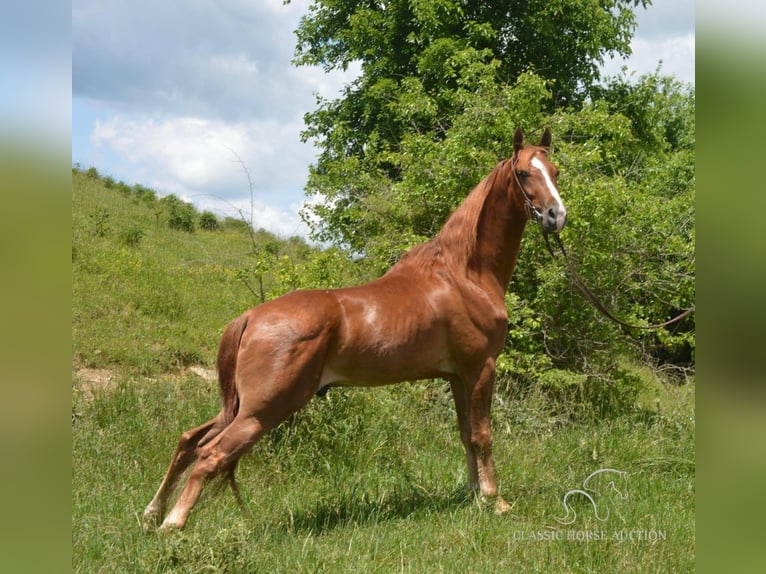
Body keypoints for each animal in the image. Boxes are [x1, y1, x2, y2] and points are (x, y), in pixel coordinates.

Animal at [144, 127, 568, 532]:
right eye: (524, 173)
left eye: (555, 171)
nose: (555, 216)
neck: (464, 274)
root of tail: (250, 317)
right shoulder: (480, 368)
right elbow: (483, 435)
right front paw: (495, 501)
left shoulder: (457, 376)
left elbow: (466, 434)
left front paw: (474, 495)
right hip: (264, 409)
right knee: (211, 453)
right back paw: (171, 523)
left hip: (238, 407)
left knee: (190, 440)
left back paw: (152, 513)